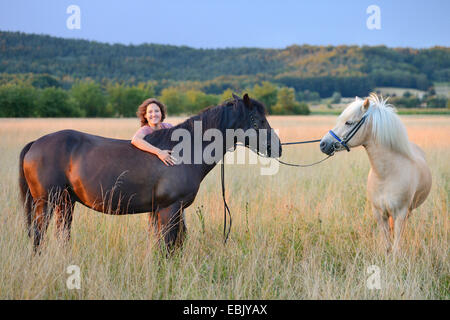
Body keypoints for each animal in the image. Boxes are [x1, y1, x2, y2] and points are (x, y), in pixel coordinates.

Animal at [20, 94, 282, 251]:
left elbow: (174, 243)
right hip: (46, 202)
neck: (183, 150)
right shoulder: (169, 208)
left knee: (61, 236)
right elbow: (168, 246)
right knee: (38, 237)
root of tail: (35, 144)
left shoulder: (166, 211)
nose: (277, 147)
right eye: (256, 120)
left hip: (66, 202)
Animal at [320, 94, 432, 254]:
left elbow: (396, 247)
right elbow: (387, 246)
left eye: (349, 122)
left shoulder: (401, 214)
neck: (386, 174)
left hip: (408, 211)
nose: (323, 144)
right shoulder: (379, 214)